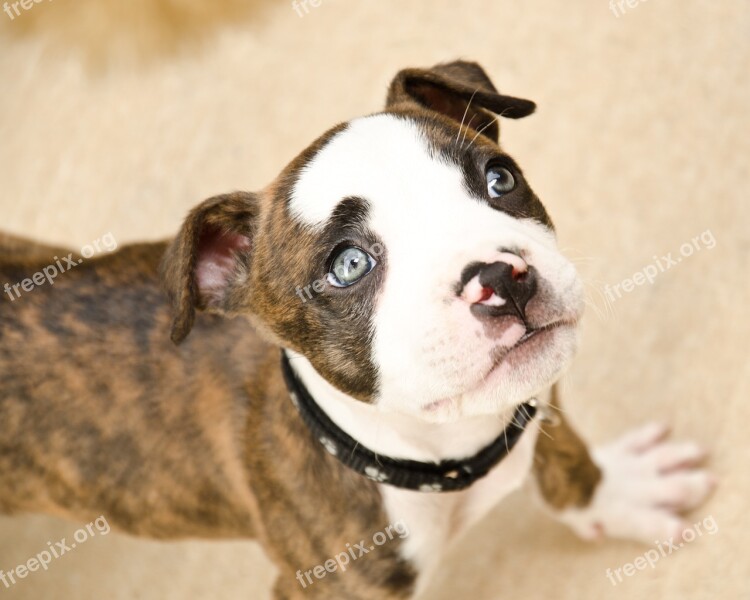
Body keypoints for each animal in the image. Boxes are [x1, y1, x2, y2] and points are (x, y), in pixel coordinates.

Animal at [1, 62, 716, 600]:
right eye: (348, 266)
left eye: (499, 179)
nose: (501, 277)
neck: (441, 450)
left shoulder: (535, 402)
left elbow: (567, 466)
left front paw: (617, 491)